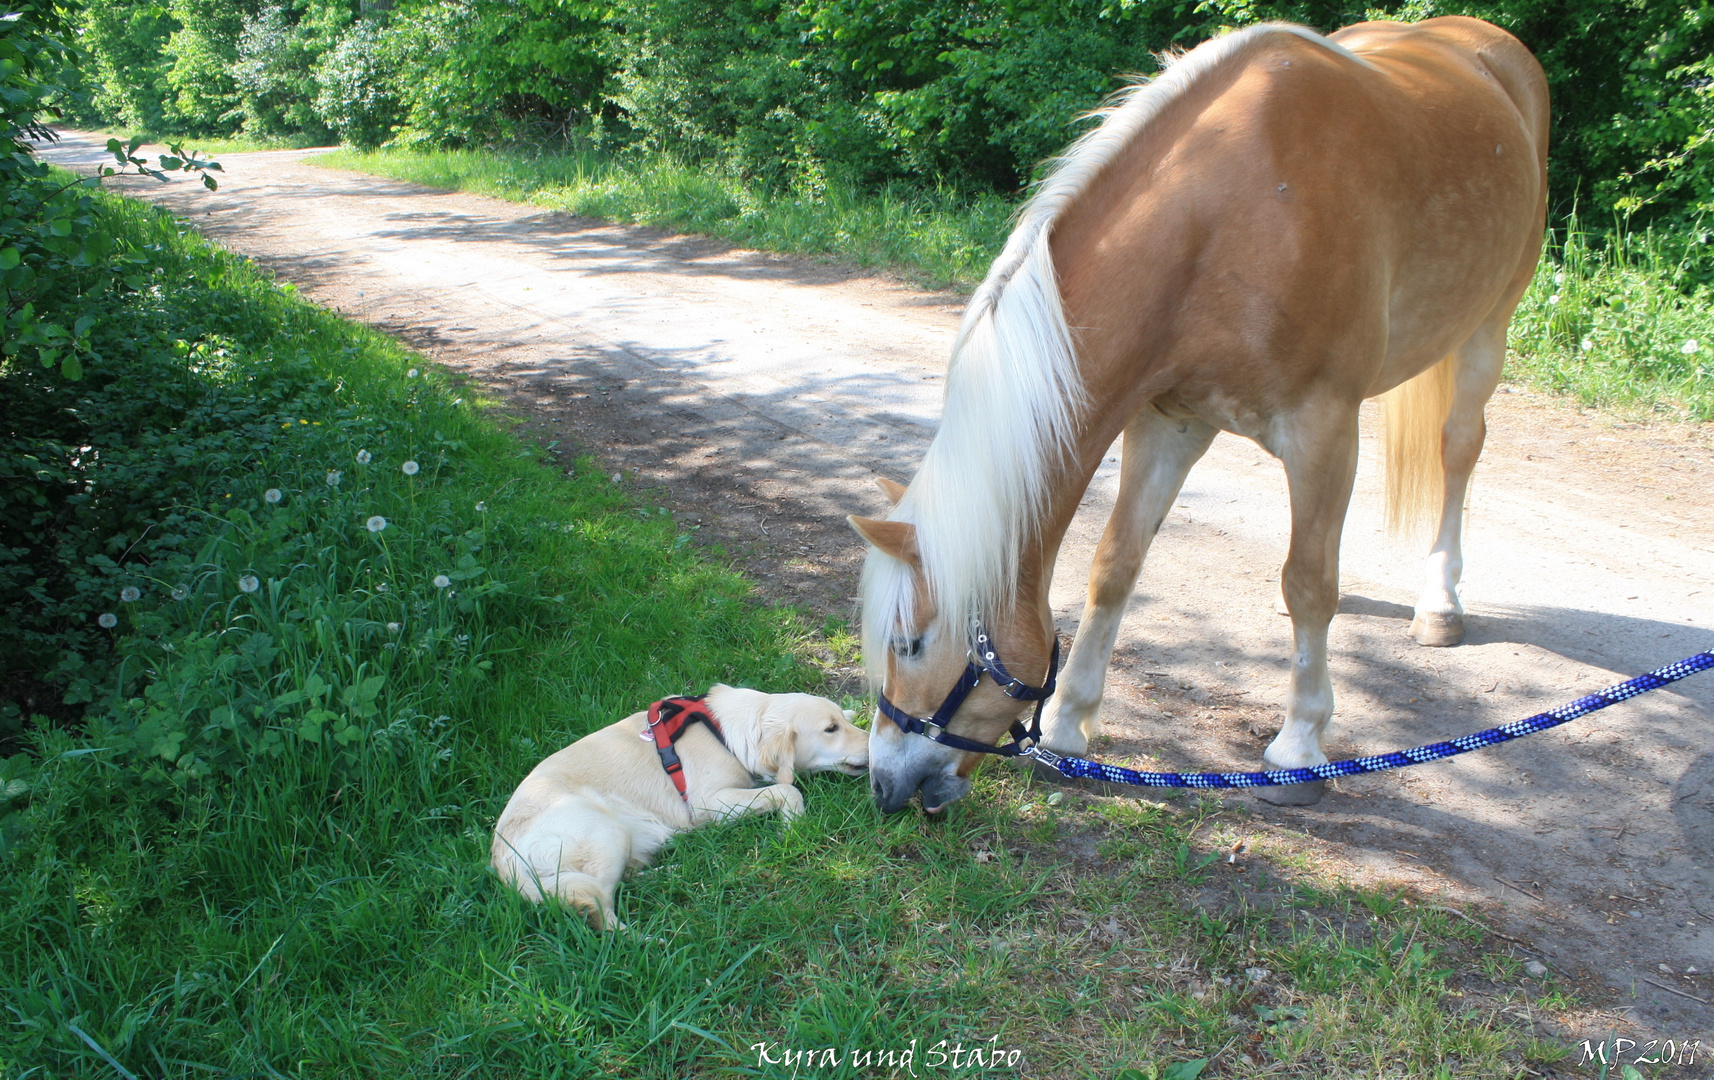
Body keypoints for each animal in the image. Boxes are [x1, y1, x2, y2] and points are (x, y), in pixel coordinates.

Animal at [497, 685, 870, 932]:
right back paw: (644, 941)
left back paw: (677, 871)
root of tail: (501, 860)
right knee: (601, 908)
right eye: (830, 729)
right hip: (603, 829)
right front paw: (792, 829)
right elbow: (788, 789)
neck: (729, 735)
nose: (874, 745)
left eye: (841, 721)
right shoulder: (708, 802)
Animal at [850, 16, 1549, 812]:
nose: (884, 785)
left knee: (1457, 448)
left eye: (907, 643)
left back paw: (1439, 602)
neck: (1228, 218)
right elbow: (1116, 564)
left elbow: (1311, 581)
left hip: (1490, 324)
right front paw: (1069, 724)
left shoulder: (1322, 427)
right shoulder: (1167, 422)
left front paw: (1299, 746)